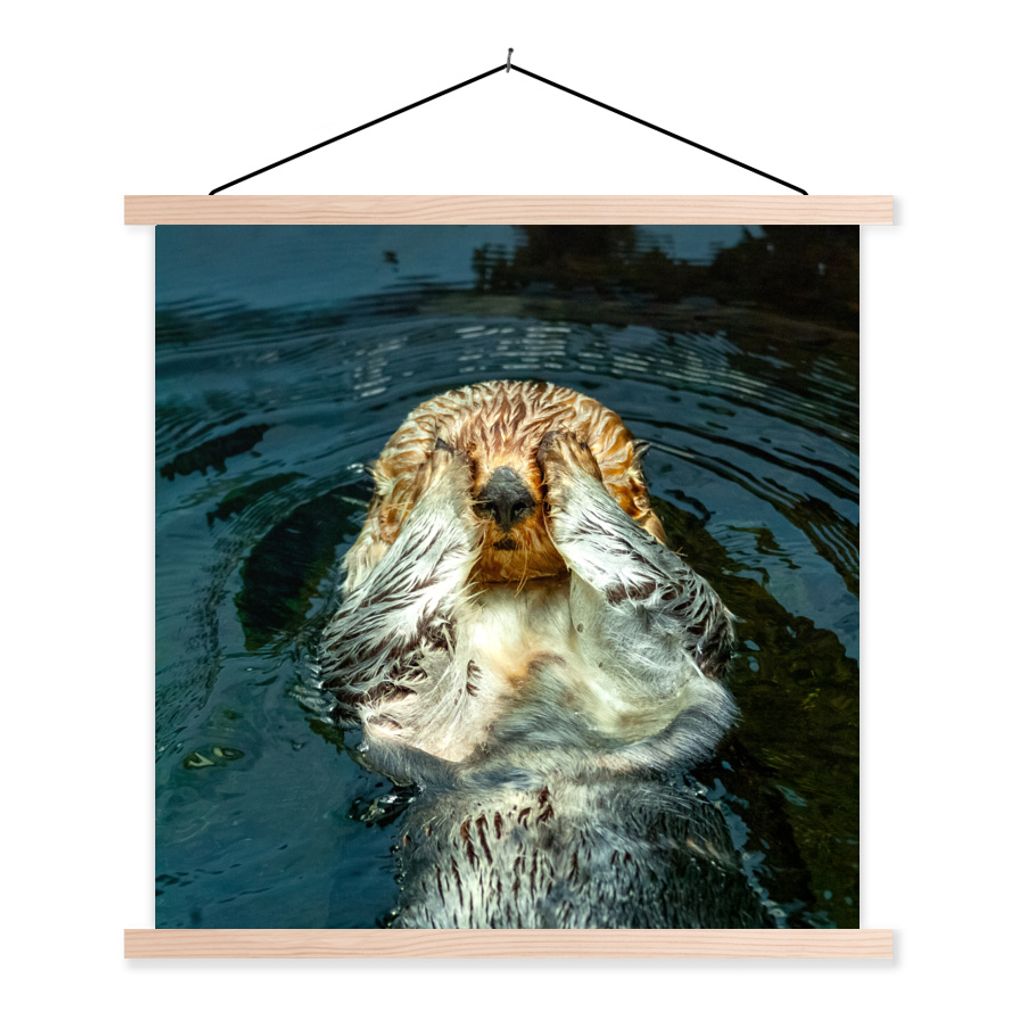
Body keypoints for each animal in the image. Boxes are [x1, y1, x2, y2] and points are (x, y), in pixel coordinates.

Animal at [318, 379, 768, 927]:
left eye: (535, 450)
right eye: (462, 443)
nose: (505, 493)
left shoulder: (672, 658)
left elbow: (659, 586)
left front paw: (572, 458)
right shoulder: (380, 672)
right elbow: (384, 620)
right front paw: (441, 469)